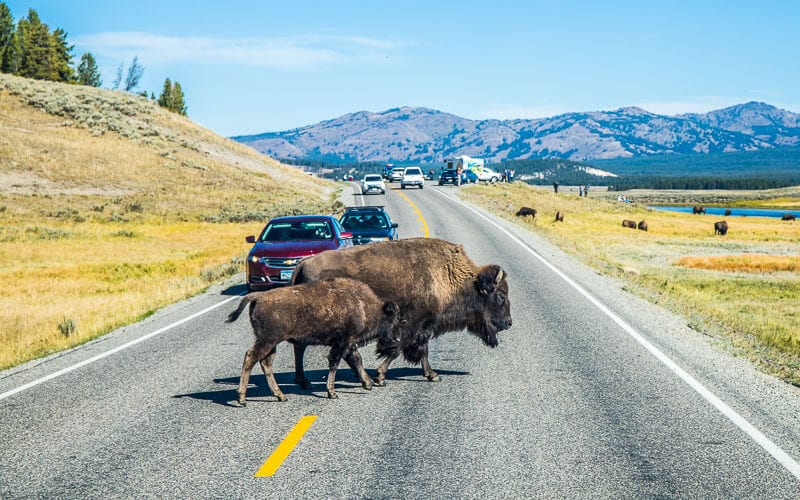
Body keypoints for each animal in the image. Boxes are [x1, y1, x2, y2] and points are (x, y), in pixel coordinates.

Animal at [227, 278, 399, 403]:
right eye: (394, 318)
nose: (396, 338)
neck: (361, 303)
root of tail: (258, 296)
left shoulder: (348, 343)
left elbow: (356, 359)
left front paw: (367, 383)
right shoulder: (343, 342)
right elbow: (335, 363)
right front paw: (332, 392)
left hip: (271, 344)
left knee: (266, 363)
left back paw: (281, 396)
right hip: (267, 341)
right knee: (250, 357)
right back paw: (242, 398)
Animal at [290, 238, 512, 387]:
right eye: (501, 295)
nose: (508, 322)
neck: (447, 275)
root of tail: (302, 264)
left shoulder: (425, 327)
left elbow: (422, 350)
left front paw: (431, 374)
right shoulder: (412, 325)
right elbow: (398, 348)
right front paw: (381, 376)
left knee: (306, 347)